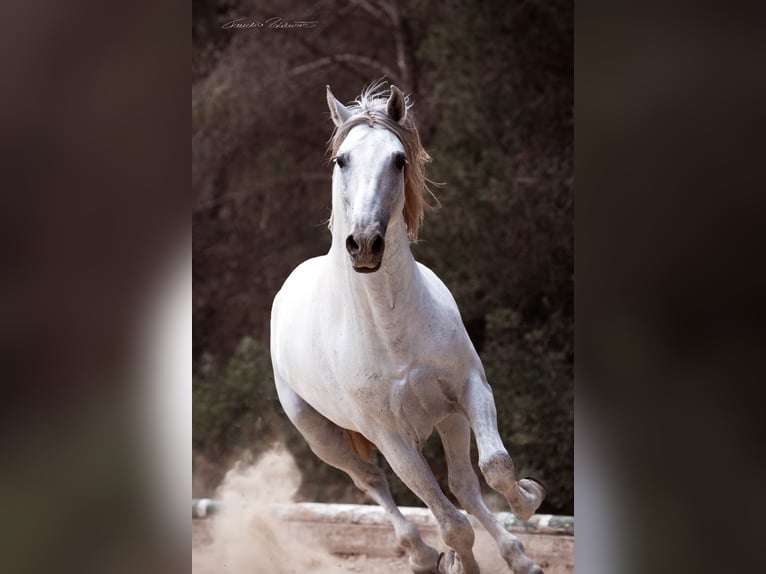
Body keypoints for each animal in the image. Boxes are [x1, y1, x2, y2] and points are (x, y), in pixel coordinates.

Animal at [270, 82, 544, 574]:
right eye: (341, 161)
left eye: (398, 159)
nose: (363, 244)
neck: (389, 326)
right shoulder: (392, 439)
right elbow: (452, 524)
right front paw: (455, 561)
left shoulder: (469, 390)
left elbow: (496, 467)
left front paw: (529, 500)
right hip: (321, 437)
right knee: (371, 480)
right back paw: (420, 552)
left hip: (448, 418)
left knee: (464, 486)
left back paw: (517, 556)